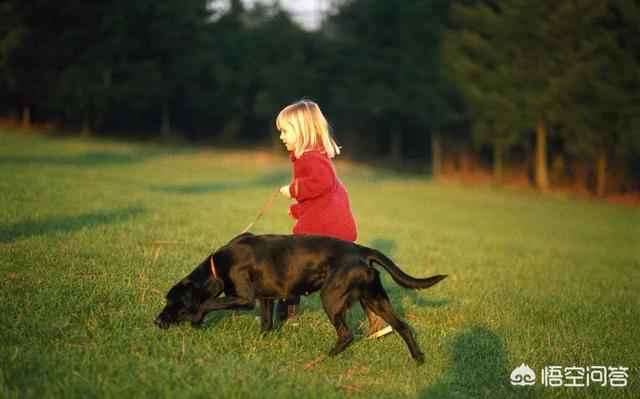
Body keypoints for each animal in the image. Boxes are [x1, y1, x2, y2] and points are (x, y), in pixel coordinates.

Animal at [156, 233, 448, 364]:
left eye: (172, 302)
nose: (157, 322)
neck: (217, 266)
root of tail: (363, 252)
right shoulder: (266, 298)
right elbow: (266, 323)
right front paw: (262, 342)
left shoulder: (245, 299)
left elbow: (207, 302)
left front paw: (196, 320)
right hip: (375, 299)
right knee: (403, 327)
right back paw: (418, 358)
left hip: (331, 298)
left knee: (346, 334)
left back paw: (327, 357)